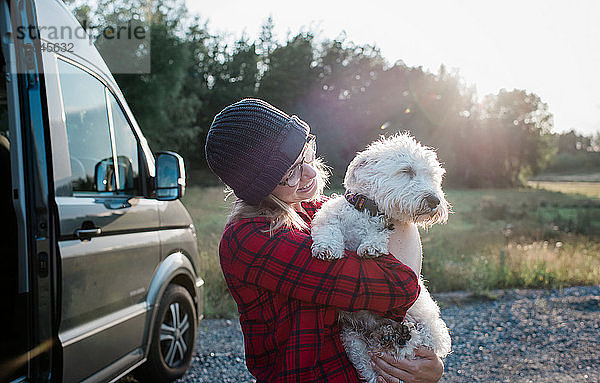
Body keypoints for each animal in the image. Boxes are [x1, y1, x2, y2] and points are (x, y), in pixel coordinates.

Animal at [312, 134, 452, 383]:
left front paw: (372, 246)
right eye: (406, 170)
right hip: (350, 337)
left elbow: (378, 234)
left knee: (418, 344)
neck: (368, 210)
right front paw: (327, 247)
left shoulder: (385, 226)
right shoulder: (329, 218)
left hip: (428, 324)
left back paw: (399, 336)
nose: (435, 200)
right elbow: (328, 227)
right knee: (368, 360)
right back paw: (386, 336)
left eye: (433, 176)